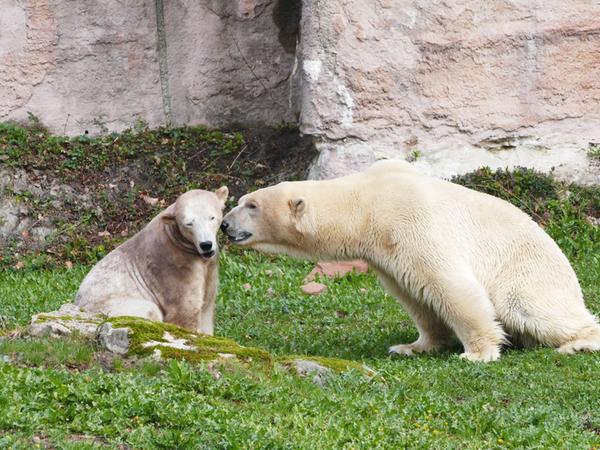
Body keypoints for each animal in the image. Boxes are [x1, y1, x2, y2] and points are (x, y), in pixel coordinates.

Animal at [77, 187, 230, 334]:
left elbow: (207, 308)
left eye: (212, 217)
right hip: (112, 305)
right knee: (149, 310)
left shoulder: (210, 267)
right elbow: (184, 311)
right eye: (188, 223)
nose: (206, 244)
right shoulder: (173, 266)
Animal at [221, 162, 600, 362]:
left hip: (528, 271)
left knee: (529, 307)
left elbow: (450, 284)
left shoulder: (410, 220)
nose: (224, 225)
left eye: (251, 205)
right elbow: (415, 294)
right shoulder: (384, 251)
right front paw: (411, 346)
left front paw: (477, 352)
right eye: (241, 200)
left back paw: (578, 342)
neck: (366, 202)